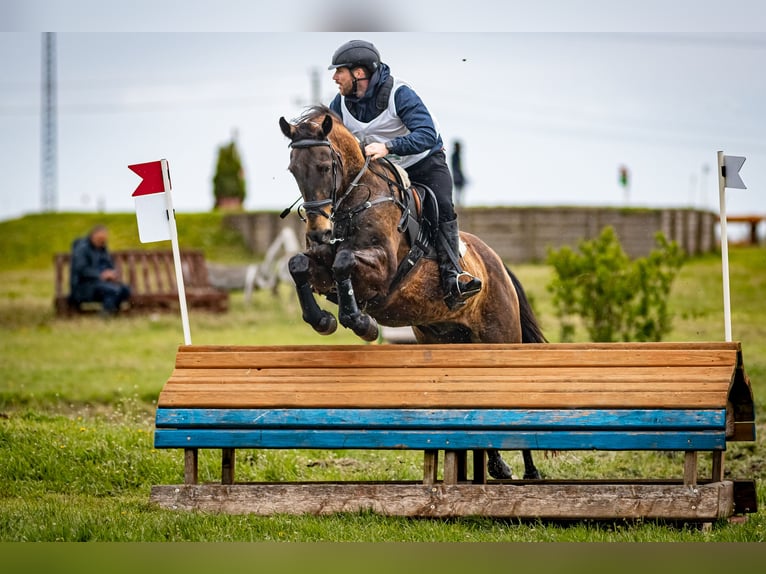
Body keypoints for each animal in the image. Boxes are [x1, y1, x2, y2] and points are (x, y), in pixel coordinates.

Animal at [280, 106, 548, 484]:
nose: (319, 232)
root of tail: (497, 264)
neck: (358, 200)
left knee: (511, 396)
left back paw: (530, 470)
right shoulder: (321, 262)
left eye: (324, 166)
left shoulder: (382, 269)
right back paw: (496, 465)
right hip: (449, 340)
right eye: (293, 170)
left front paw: (362, 323)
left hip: (501, 337)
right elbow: (298, 264)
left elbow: (345, 262)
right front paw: (322, 319)